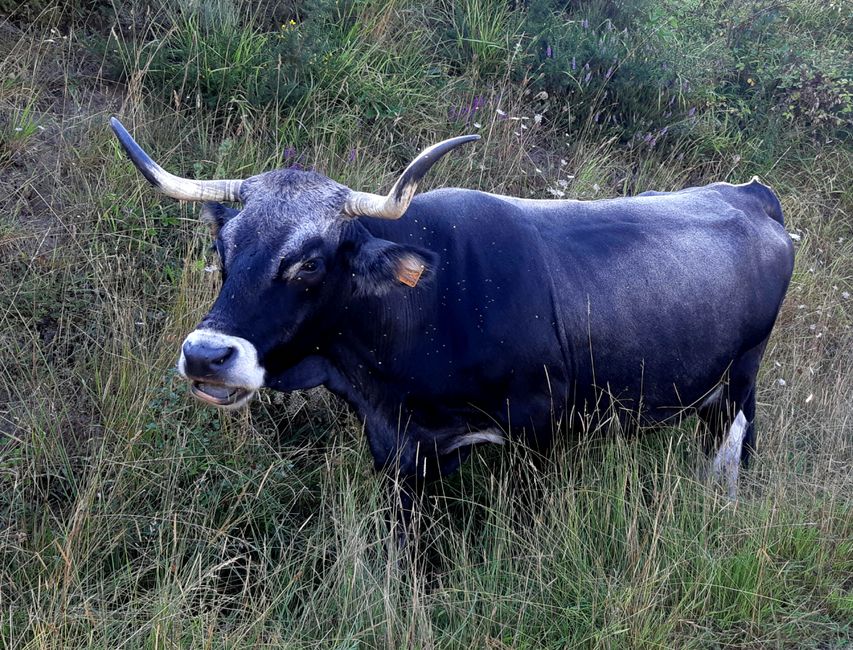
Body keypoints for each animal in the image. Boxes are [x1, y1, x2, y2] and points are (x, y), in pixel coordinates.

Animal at [110, 117, 794, 525]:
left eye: (309, 262)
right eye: (223, 248)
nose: (206, 355)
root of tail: (750, 194)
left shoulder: (538, 433)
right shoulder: (403, 452)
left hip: (737, 390)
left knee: (733, 454)